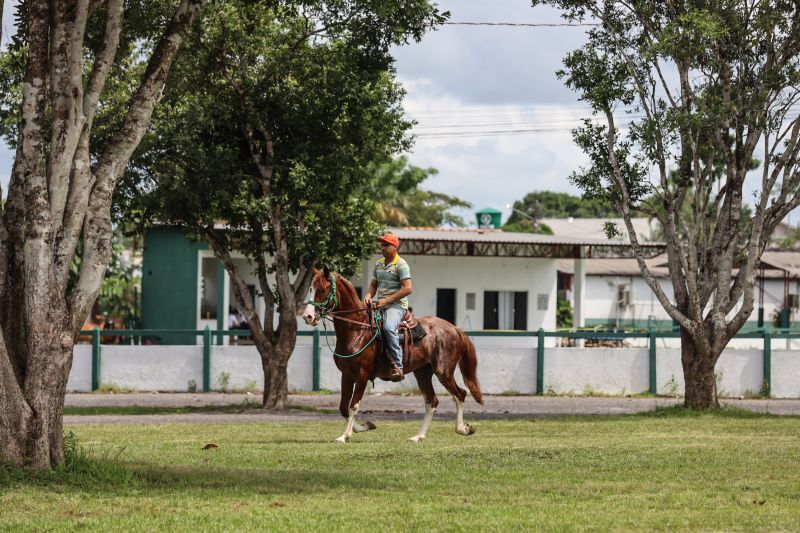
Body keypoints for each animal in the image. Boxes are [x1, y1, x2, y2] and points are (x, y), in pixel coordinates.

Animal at [304, 266, 484, 444]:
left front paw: (345, 436)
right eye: (310, 289)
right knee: (431, 400)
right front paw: (365, 426)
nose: (308, 316)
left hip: (443, 372)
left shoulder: (362, 375)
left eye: (323, 289)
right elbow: (343, 407)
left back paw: (463, 429)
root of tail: (454, 328)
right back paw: (418, 436)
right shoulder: (347, 375)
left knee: (460, 394)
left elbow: (353, 406)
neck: (357, 330)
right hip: (422, 372)